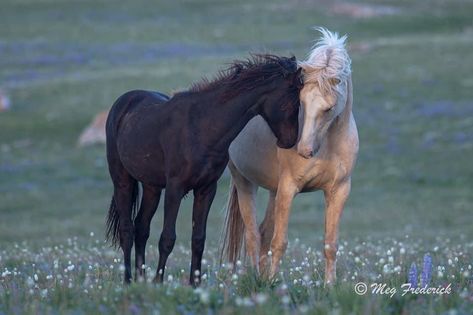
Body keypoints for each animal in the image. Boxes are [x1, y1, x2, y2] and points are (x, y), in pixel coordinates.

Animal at [106, 54, 302, 286]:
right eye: (293, 101)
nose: (290, 142)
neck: (202, 127)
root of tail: (123, 103)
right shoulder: (175, 189)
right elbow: (167, 238)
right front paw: (159, 282)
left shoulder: (206, 189)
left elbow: (198, 239)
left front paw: (195, 284)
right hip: (122, 181)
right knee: (127, 229)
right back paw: (129, 280)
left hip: (152, 187)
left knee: (141, 228)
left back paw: (140, 279)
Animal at [221, 30, 358, 286]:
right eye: (301, 102)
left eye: (329, 108)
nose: (304, 150)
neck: (328, 144)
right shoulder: (288, 188)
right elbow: (280, 242)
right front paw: (274, 284)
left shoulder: (339, 190)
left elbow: (330, 245)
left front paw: (329, 286)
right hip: (245, 182)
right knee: (253, 236)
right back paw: (257, 279)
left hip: (273, 191)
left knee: (263, 233)